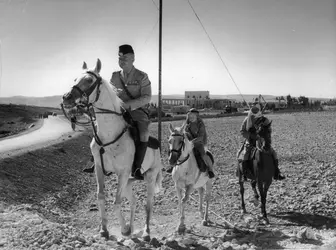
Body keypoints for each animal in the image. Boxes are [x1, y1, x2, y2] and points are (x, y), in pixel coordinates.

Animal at [62, 58, 164, 240]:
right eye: (75, 79)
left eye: (89, 80)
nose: (66, 97)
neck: (109, 136)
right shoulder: (100, 170)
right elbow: (101, 197)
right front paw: (104, 229)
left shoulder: (122, 173)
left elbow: (116, 203)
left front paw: (123, 229)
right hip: (129, 182)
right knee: (134, 201)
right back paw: (132, 229)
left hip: (150, 177)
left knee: (148, 205)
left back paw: (145, 232)